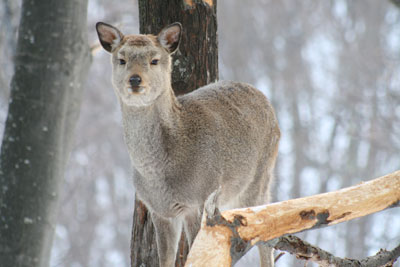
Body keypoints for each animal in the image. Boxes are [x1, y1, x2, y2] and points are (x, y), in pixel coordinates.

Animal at [95, 21, 280, 267]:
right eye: (122, 59)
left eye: (154, 60)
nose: (134, 80)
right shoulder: (159, 210)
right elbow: (166, 260)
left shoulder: (199, 200)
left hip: (259, 177)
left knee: (266, 235)